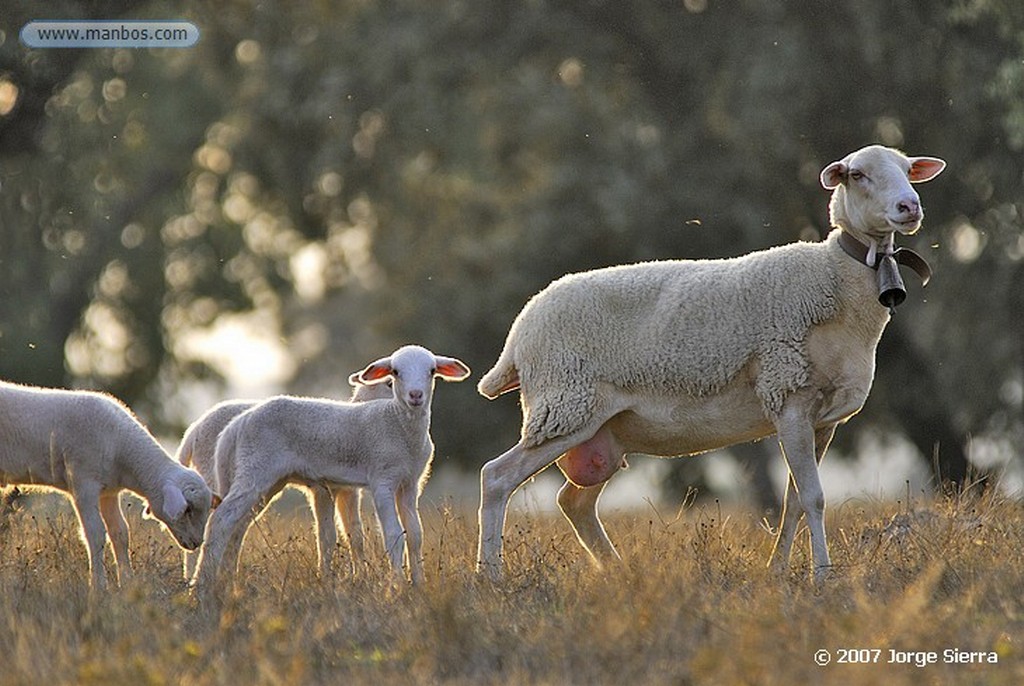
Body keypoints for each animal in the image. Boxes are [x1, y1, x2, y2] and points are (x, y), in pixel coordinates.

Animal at [0, 380, 214, 589]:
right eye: (188, 510)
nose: (196, 542)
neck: (122, 448)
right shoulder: (84, 484)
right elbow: (95, 534)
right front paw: (98, 587)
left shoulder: (109, 492)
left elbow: (120, 533)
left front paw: (127, 582)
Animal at [174, 376, 389, 581]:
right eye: (388, 382)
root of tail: (193, 431)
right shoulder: (322, 488)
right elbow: (329, 536)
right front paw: (332, 577)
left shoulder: (346, 490)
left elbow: (353, 534)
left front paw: (357, 574)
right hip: (221, 473)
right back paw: (195, 578)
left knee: (237, 527)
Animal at [475, 146, 946, 585]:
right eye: (858, 174)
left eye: (908, 170)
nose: (910, 206)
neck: (835, 280)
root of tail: (518, 334)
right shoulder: (788, 395)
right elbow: (814, 498)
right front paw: (822, 576)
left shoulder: (824, 420)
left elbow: (794, 500)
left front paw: (777, 570)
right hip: (565, 405)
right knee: (496, 477)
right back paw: (491, 576)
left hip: (601, 430)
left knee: (573, 503)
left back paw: (618, 571)